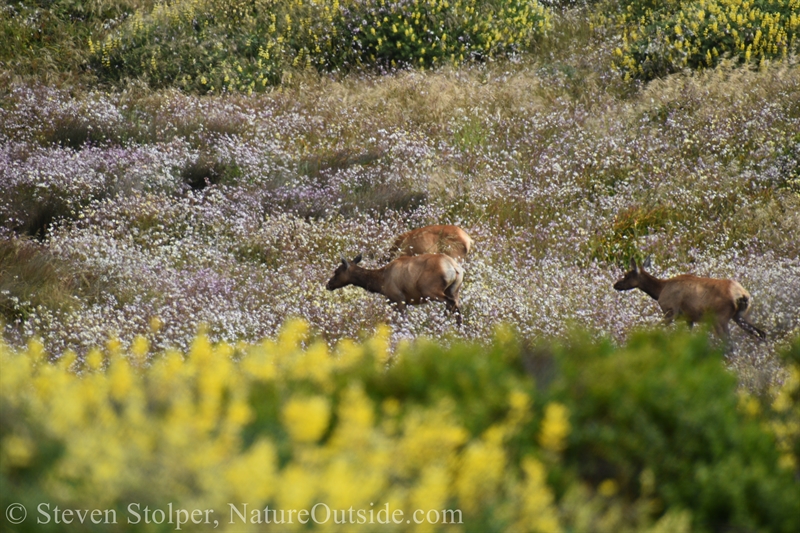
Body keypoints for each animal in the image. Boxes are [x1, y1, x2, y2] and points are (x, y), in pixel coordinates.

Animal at [324, 254, 462, 324]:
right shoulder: (403, 301)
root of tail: (455, 268)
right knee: (456, 306)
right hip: (454, 291)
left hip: (430, 291)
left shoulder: (397, 299)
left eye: (336, 271)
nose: (328, 285)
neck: (381, 281)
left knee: (450, 304)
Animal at [616, 258, 764, 340]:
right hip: (742, 315)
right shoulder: (689, 318)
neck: (659, 290)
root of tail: (742, 294)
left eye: (627, 275)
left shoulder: (671, 311)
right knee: (762, 333)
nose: (615, 285)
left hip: (720, 318)